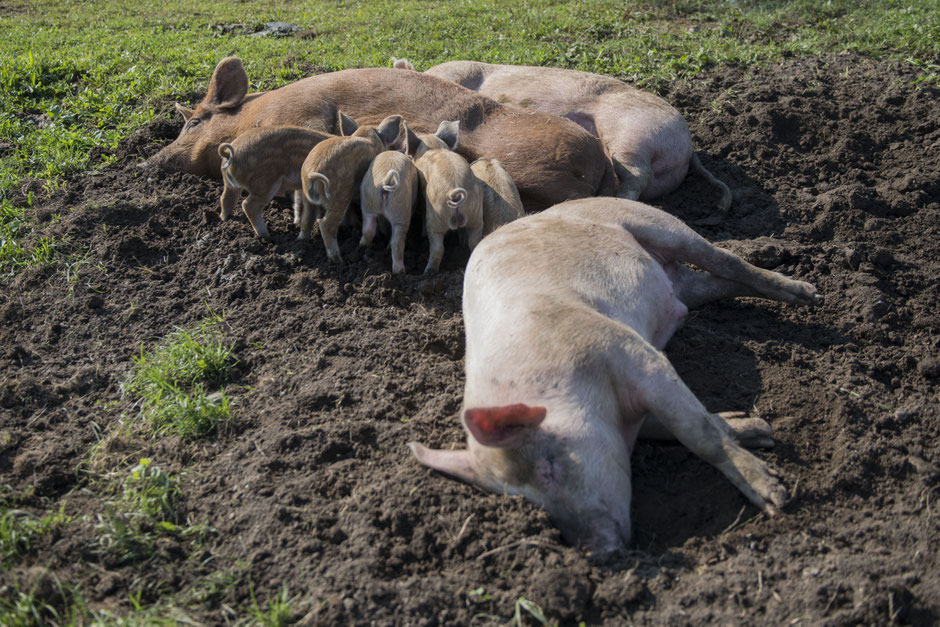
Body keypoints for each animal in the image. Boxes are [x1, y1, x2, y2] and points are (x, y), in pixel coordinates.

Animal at [141, 56, 616, 212]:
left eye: (192, 122)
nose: (148, 163)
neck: (251, 116)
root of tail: (601, 161)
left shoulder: (299, 113)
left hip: (540, 167)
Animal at [300, 115, 403, 263]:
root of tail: (312, 173)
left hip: (307, 196)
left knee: (306, 219)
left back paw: (301, 241)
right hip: (339, 196)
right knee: (325, 225)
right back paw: (338, 260)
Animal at [409, 196, 820, 557]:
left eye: (549, 467)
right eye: (525, 500)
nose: (597, 553)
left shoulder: (628, 350)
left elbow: (696, 432)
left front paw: (775, 496)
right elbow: (679, 426)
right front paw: (757, 429)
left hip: (653, 221)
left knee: (725, 261)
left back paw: (807, 294)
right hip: (680, 283)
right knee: (709, 285)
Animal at [412, 122, 484, 274]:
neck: (434, 147)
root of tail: (455, 192)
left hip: (436, 217)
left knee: (438, 247)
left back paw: (428, 272)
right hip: (475, 216)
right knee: (474, 242)